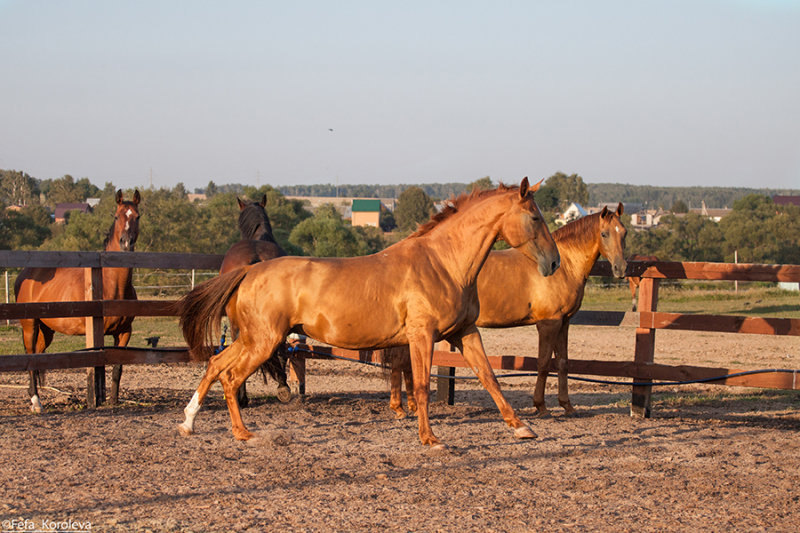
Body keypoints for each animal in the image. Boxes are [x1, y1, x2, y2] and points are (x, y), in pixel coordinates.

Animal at [14, 191, 141, 412]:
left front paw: (114, 401)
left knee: (39, 356)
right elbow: (97, 369)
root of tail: (24, 275)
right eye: (117, 216)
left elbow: (117, 368)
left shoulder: (124, 332)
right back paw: (36, 401)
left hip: (47, 331)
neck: (112, 285)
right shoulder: (97, 333)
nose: (126, 242)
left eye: (137, 216)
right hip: (30, 325)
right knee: (31, 358)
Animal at [390, 204, 632, 420]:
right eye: (604, 233)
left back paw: (406, 407)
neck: (564, 267)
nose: (621, 268)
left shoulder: (564, 322)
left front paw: (567, 406)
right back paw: (402, 408)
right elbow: (543, 363)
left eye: (624, 232)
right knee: (400, 362)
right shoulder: (548, 323)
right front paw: (541, 406)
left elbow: (563, 363)